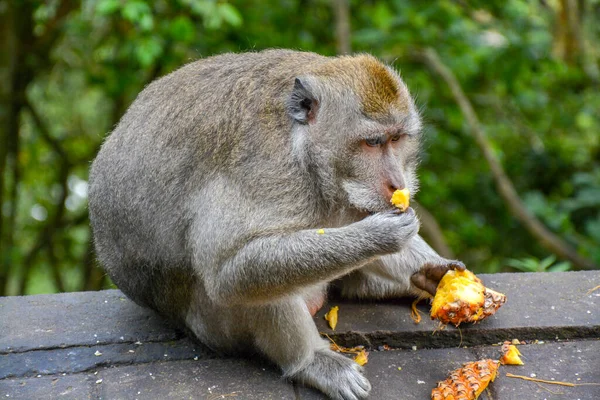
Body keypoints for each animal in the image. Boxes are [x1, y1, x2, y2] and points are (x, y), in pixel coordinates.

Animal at [88, 48, 464, 398]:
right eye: (373, 142)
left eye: (397, 139)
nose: (397, 183)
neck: (305, 149)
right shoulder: (266, 170)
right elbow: (229, 270)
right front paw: (380, 235)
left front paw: (439, 271)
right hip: (213, 326)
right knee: (254, 282)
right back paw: (311, 362)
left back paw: (415, 282)